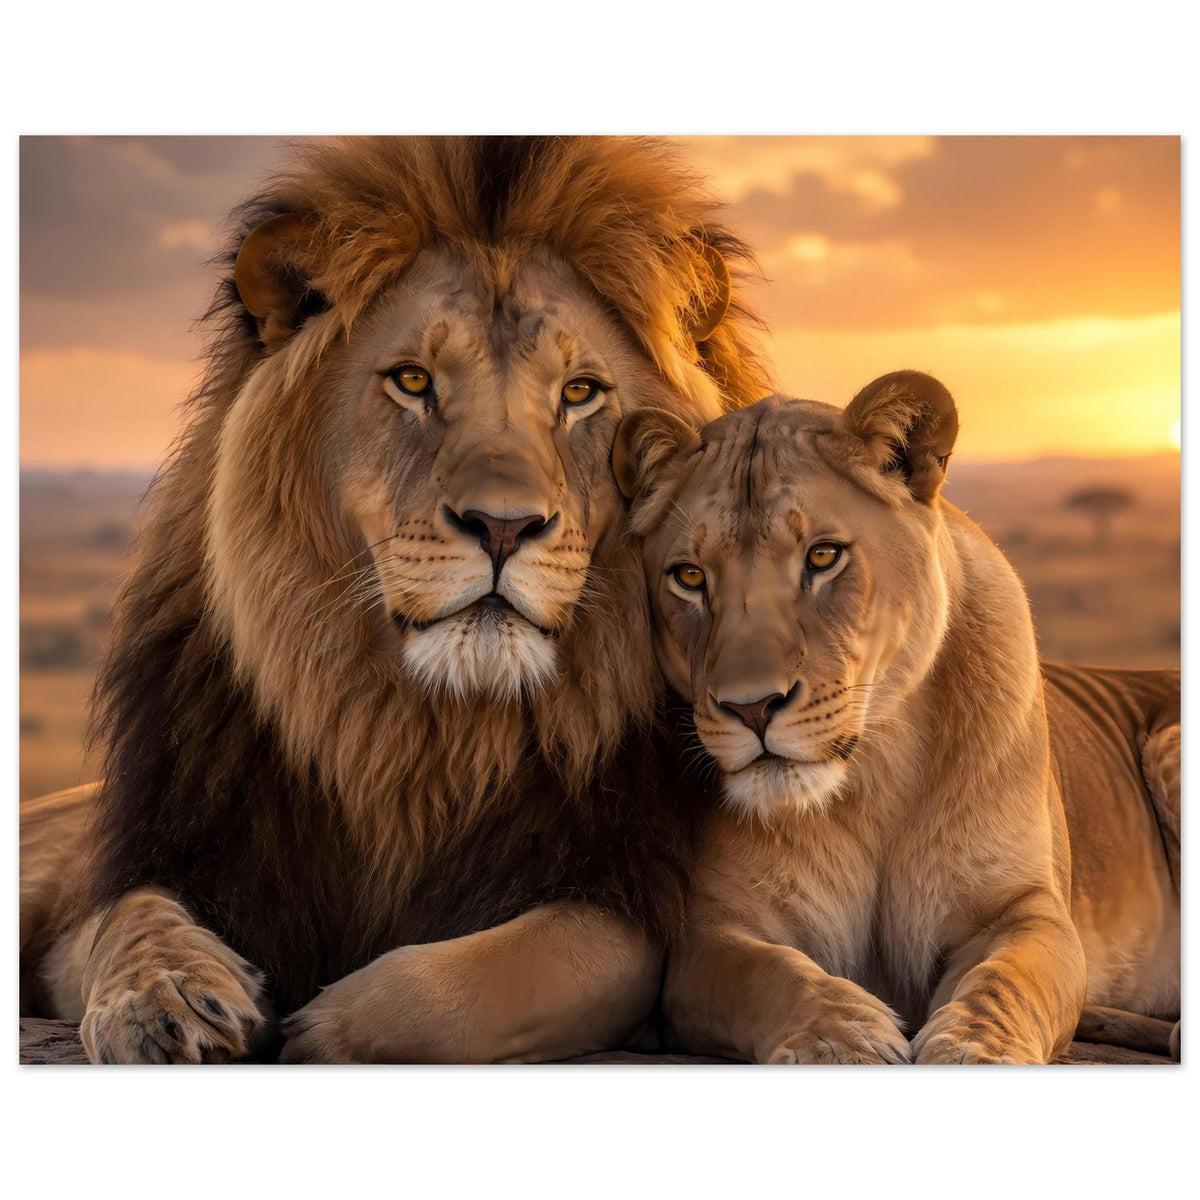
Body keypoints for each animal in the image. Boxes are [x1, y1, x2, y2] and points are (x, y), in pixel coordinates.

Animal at [19, 136, 771, 1064]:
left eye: (580, 393)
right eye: (413, 381)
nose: (502, 525)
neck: (416, 740)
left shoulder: (620, 897)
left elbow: (485, 980)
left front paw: (324, 1029)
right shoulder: (171, 853)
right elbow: (128, 917)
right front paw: (163, 1001)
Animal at [613, 372, 1180, 1063]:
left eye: (823, 556)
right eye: (690, 576)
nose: (751, 707)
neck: (873, 777)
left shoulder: (1027, 909)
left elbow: (1004, 980)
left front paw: (974, 1050)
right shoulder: (711, 935)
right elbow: (771, 975)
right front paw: (840, 1039)